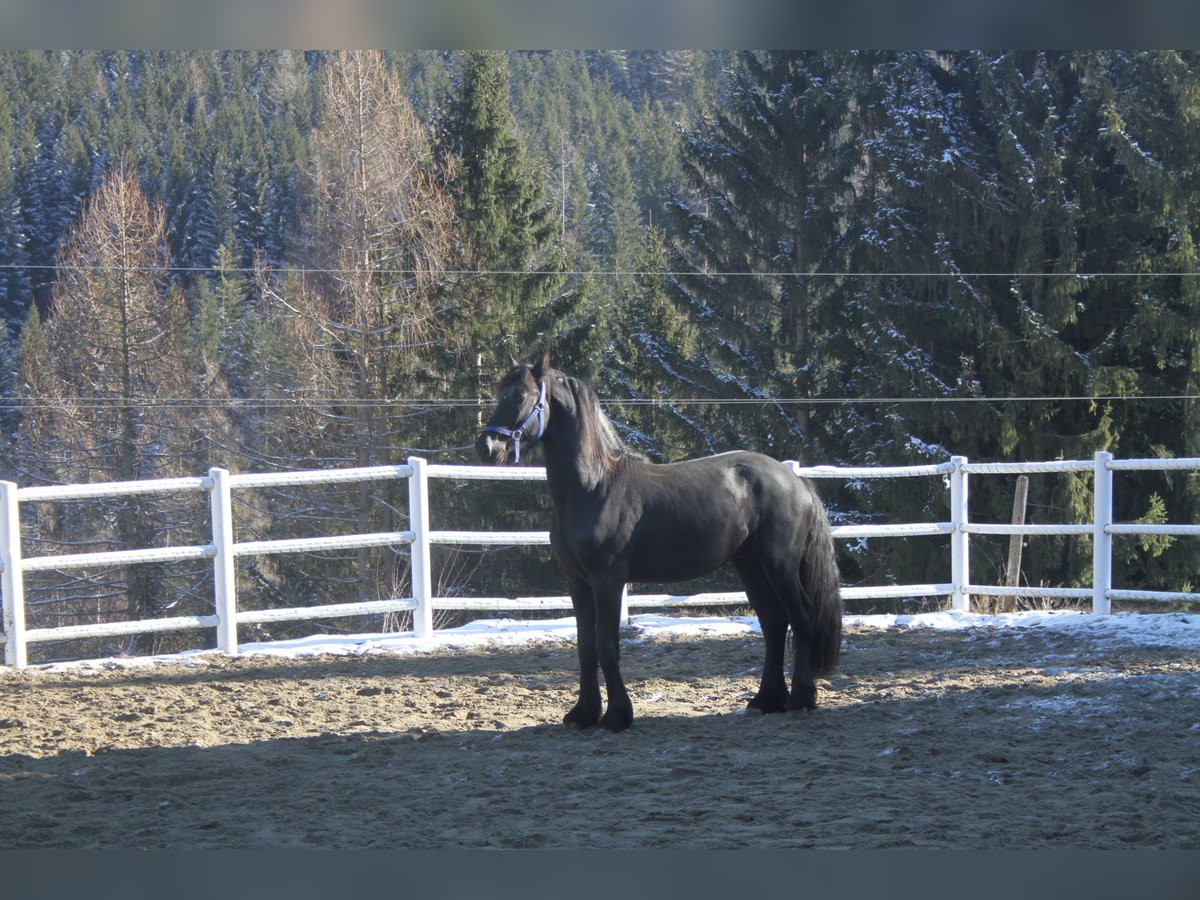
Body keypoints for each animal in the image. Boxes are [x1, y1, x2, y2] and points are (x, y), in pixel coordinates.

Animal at [472, 352, 840, 734]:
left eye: (522, 396)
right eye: (500, 393)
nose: (487, 447)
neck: (594, 488)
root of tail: (795, 480)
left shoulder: (607, 581)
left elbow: (607, 645)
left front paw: (617, 716)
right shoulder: (577, 582)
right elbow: (586, 646)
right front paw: (583, 713)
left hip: (780, 565)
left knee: (801, 617)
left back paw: (800, 700)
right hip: (750, 565)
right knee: (773, 623)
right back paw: (765, 700)